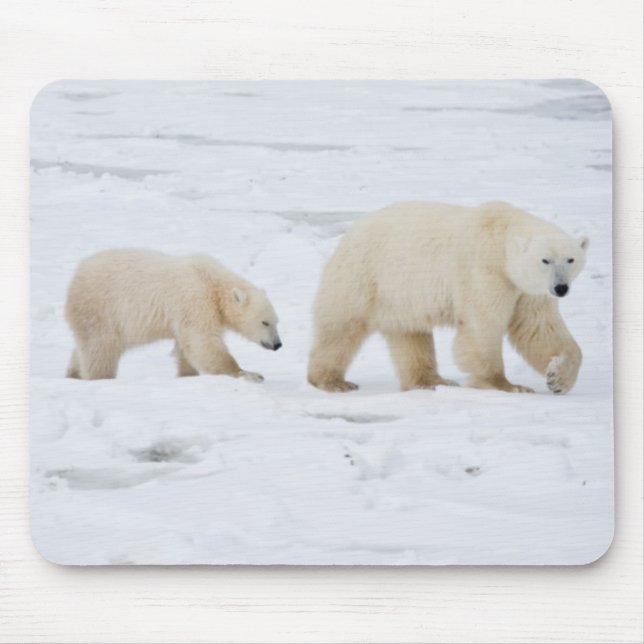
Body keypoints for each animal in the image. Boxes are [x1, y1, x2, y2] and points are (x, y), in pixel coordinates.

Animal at [65, 249, 281, 381]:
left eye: (276, 322)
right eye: (265, 322)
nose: (277, 344)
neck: (212, 281)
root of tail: (75, 278)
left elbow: (187, 347)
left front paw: (187, 374)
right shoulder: (196, 300)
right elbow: (203, 342)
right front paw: (249, 374)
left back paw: (73, 373)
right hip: (102, 310)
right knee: (101, 349)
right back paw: (100, 377)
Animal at [307, 201, 588, 395]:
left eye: (570, 259)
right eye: (545, 260)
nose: (561, 288)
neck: (500, 237)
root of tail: (351, 232)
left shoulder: (528, 291)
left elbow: (539, 329)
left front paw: (558, 378)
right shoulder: (486, 272)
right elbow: (482, 326)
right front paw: (507, 386)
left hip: (401, 297)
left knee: (410, 335)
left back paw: (432, 381)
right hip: (365, 275)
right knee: (341, 327)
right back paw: (333, 381)